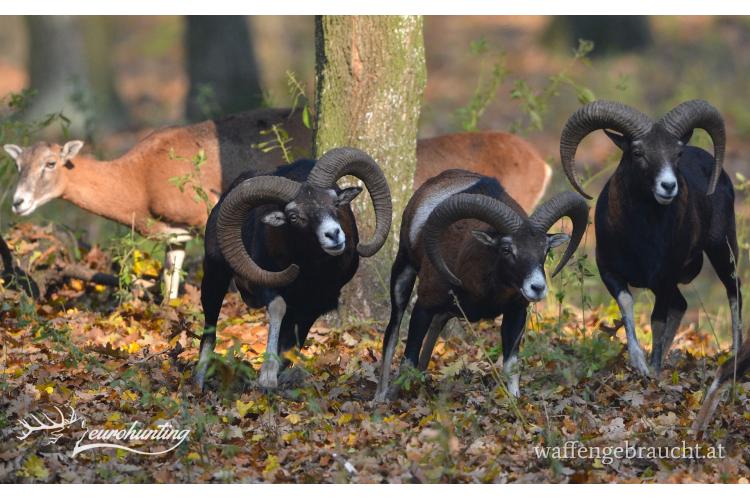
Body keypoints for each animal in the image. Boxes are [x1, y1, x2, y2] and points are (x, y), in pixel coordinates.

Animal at [3, 107, 311, 300]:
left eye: (50, 163)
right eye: (18, 166)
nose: (18, 202)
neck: (139, 184)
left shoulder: (205, 213)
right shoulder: (174, 234)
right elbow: (169, 281)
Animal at [194, 147, 392, 390]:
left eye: (336, 203)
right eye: (295, 217)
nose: (334, 235)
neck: (310, 273)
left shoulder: (315, 304)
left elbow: (291, 346)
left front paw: (279, 375)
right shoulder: (267, 285)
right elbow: (278, 308)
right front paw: (267, 378)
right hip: (214, 277)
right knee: (209, 330)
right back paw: (198, 383)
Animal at [374, 169, 588, 402]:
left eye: (545, 249)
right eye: (506, 249)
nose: (537, 287)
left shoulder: (516, 313)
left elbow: (511, 367)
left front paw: (514, 401)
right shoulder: (424, 306)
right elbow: (408, 360)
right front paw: (392, 399)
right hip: (403, 272)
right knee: (393, 331)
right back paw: (380, 395)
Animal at [559, 99, 741, 377]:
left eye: (677, 154)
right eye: (637, 152)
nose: (668, 186)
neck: (640, 238)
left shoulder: (664, 277)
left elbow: (657, 320)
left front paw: (653, 370)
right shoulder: (611, 272)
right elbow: (627, 305)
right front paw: (641, 364)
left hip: (722, 250)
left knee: (734, 292)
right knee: (682, 304)